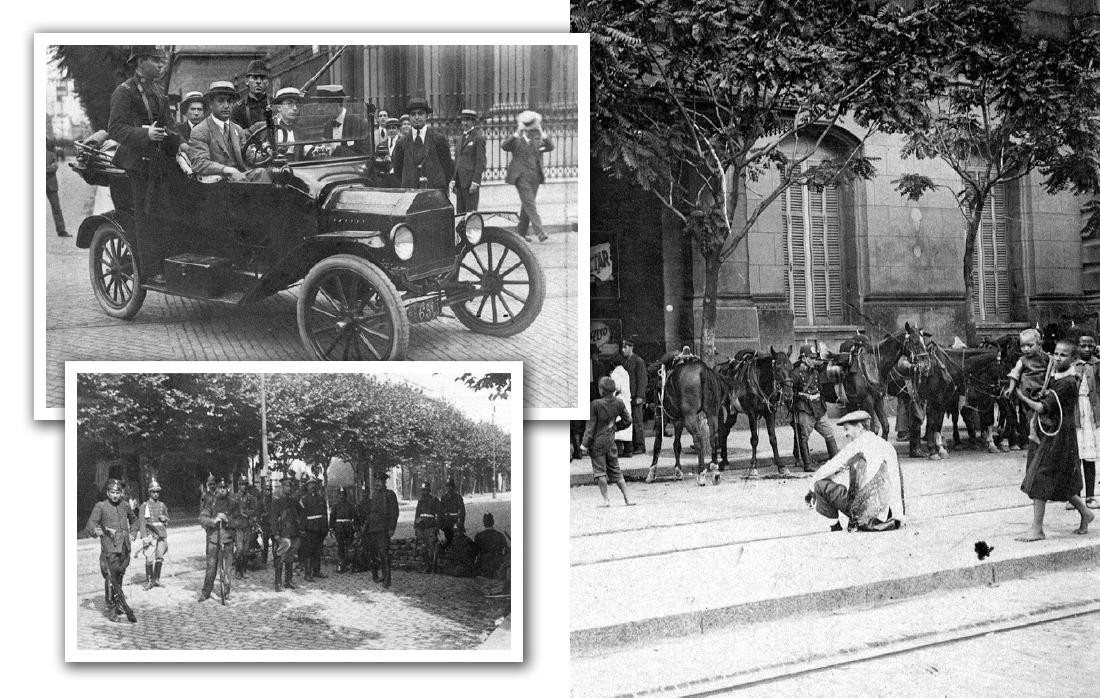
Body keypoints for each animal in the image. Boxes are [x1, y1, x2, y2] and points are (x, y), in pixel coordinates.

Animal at [646, 353, 726, 485]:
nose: (648, 405)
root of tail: (703, 370)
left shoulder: (660, 417)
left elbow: (657, 444)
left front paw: (652, 473)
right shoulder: (679, 421)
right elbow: (677, 445)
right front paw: (678, 471)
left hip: (690, 417)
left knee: (698, 439)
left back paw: (701, 473)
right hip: (712, 413)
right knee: (713, 438)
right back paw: (715, 472)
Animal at [717, 347, 796, 477]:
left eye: (791, 367)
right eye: (777, 368)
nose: (788, 396)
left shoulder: (770, 413)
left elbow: (773, 438)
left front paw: (781, 465)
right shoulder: (752, 414)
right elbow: (754, 439)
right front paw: (753, 466)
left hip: (732, 412)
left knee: (724, 430)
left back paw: (725, 461)